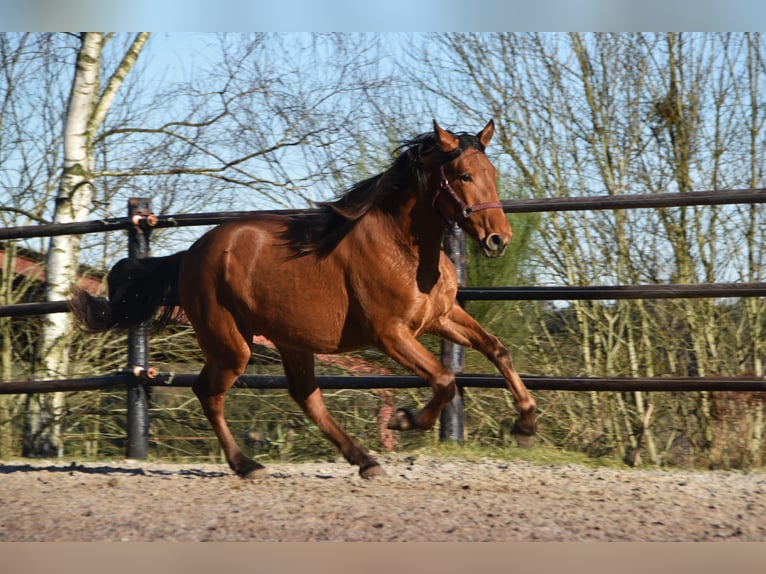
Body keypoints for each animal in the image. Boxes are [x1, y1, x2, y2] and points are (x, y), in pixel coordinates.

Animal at [73, 121, 540, 482]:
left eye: (491, 172)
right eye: (462, 176)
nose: (498, 239)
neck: (404, 248)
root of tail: (190, 253)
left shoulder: (441, 317)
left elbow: (497, 350)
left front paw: (526, 423)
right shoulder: (390, 334)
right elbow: (445, 379)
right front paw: (405, 420)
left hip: (291, 341)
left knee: (306, 397)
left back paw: (365, 461)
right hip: (232, 345)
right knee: (209, 392)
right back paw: (248, 465)